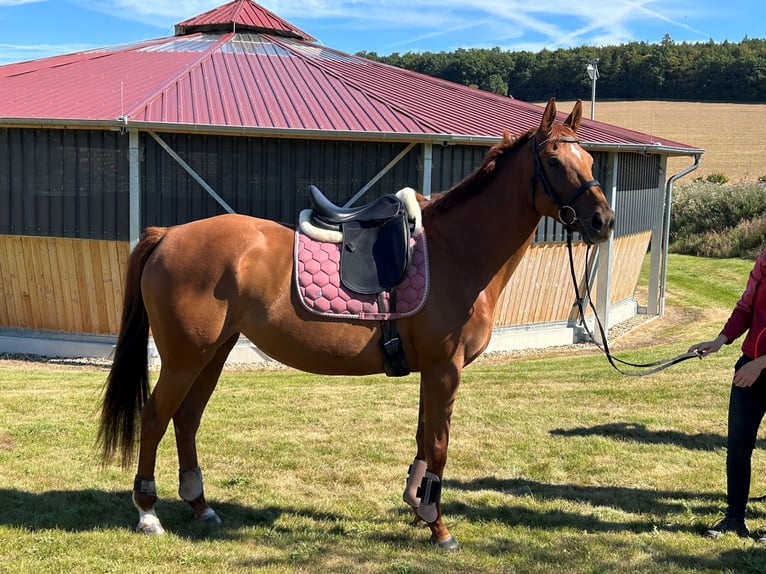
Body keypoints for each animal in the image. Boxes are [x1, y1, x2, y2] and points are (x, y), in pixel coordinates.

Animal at [98, 98, 615, 549]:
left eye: (589, 158)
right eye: (553, 161)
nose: (603, 221)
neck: (456, 251)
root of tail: (167, 235)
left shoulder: (431, 371)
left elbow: (424, 438)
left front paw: (418, 509)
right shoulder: (446, 369)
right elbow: (440, 446)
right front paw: (439, 528)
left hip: (214, 353)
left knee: (186, 418)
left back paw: (200, 505)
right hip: (185, 358)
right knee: (155, 417)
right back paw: (148, 512)